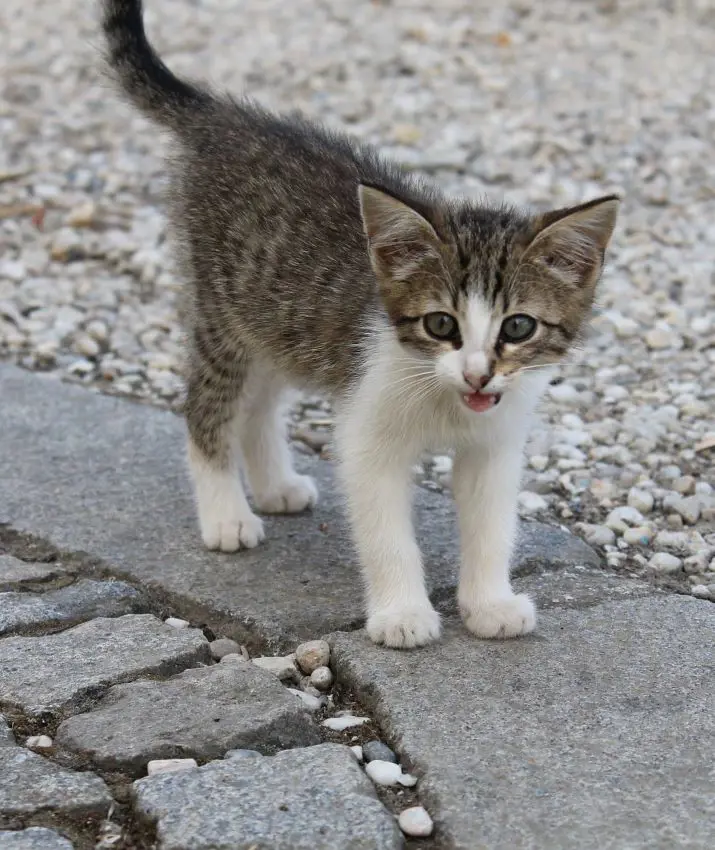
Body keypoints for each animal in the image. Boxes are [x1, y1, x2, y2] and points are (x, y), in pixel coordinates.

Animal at [102, 1, 620, 648]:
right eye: (441, 324)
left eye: (519, 327)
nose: (478, 374)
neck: (442, 396)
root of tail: (223, 116)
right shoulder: (368, 430)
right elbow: (384, 530)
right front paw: (402, 614)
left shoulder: (496, 442)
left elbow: (491, 522)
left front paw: (489, 603)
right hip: (222, 311)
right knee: (208, 404)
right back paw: (226, 513)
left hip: (278, 318)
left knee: (259, 402)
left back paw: (274, 485)